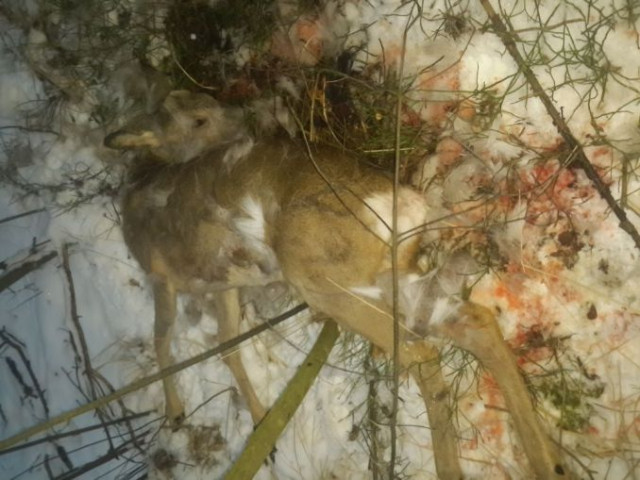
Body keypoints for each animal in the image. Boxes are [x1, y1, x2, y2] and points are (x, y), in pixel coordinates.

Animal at [104, 90, 573, 479]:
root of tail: (404, 203)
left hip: (325, 280)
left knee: (422, 354)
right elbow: (227, 345)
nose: (245, 117)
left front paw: (176, 413)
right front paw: (261, 426)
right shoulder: (221, 287)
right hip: (388, 279)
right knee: (476, 324)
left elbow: (165, 341)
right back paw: (549, 463)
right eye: (198, 116)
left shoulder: (160, 277)